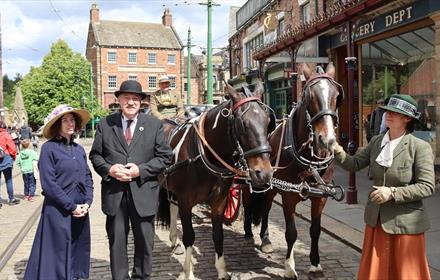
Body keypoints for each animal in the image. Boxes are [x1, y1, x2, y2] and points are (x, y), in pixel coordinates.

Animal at [156, 81, 274, 280]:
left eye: (267, 122)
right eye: (243, 123)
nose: (264, 173)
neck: (204, 153)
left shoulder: (219, 201)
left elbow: (218, 235)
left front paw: (221, 270)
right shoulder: (186, 201)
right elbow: (189, 236)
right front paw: (188, 273)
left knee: (172, 207)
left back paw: (174, 242)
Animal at [244, 62, 344, 278]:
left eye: (336, 96)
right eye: (309, 96)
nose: (327, 140)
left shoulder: (320, 197)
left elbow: (315, 230)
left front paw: (315, 264)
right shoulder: (288, 195)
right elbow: (291, 232)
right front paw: (289, 267)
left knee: (265, 208)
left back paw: (265, 239)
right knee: (253, 205)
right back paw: (251, 233)